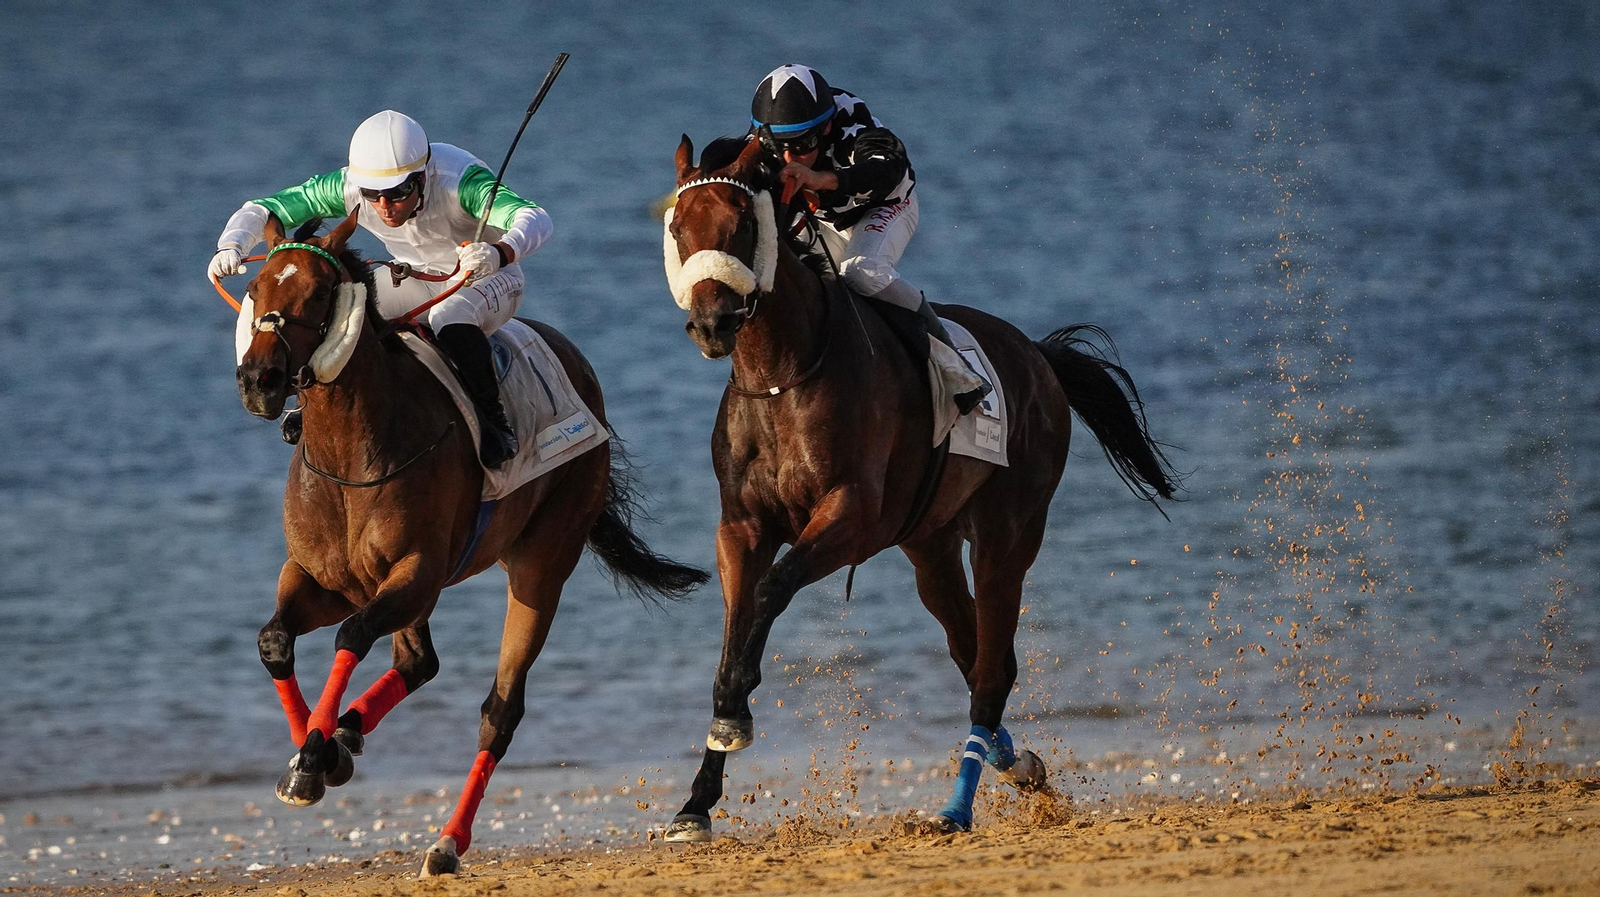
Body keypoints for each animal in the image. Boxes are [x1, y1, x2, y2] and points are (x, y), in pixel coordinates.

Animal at [233, 211, 707, 876]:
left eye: (320, 293)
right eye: (255, 289)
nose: (260, 380)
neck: (351, 455)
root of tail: (578, 366)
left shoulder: (416, 572)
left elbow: (352, 635)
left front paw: (315, 757)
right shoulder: (323, 578)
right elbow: (275, 640)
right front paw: (314, 756)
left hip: (540, 567)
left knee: (499, 710)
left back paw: (446, 842)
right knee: (417, 662)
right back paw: (350, 736)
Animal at [659, 136, 1179, 839]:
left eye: (741, 222)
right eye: (678, 227)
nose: (712, 323)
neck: (781, 374)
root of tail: (1037, 355)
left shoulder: (851, 518)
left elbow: (770, 593)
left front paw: (736, 713)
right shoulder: (741, 526)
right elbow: (735, 626)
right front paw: (698, 796)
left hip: (1008, 535)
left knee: (992, 669)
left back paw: (958, 805)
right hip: (930, 545)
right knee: (971, 651)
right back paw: (1019, 765)